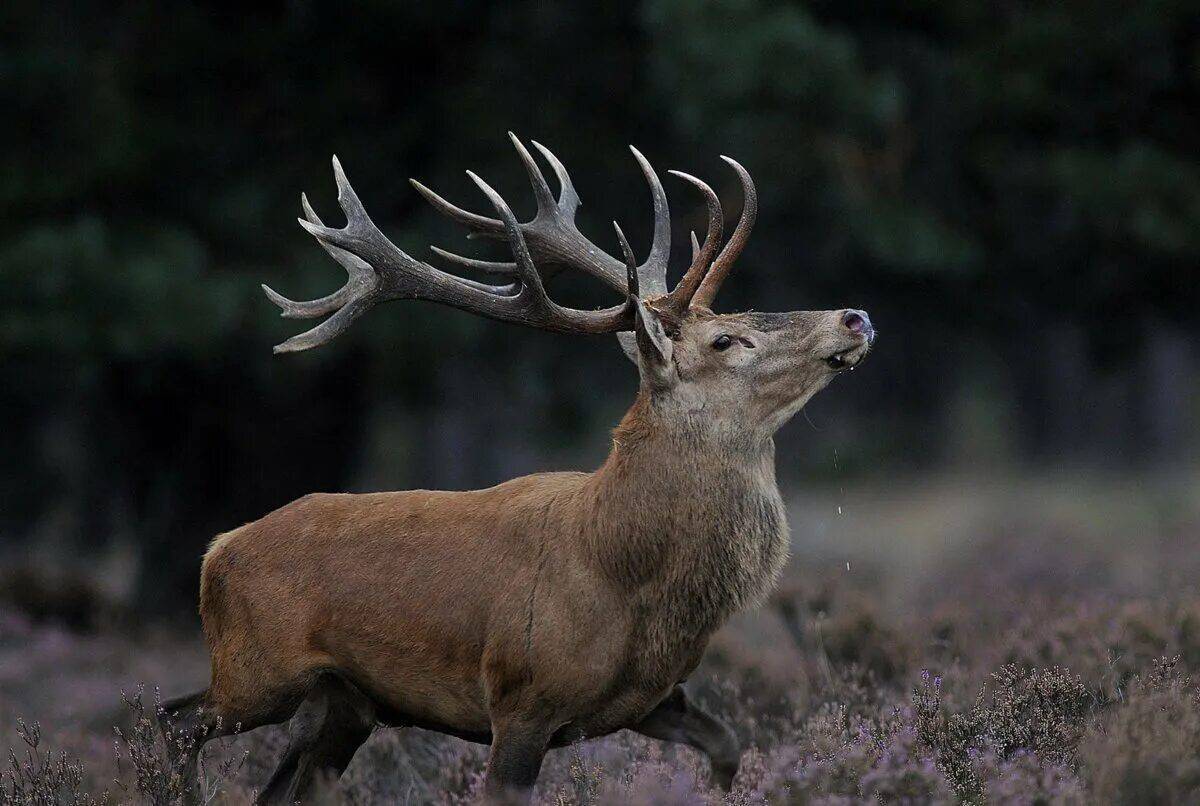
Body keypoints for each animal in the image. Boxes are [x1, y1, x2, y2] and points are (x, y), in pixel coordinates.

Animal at [162, 131, 873, 801]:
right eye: (727, 340)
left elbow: (728, 746)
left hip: (340, 704)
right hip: (258, 670)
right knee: (175, 721)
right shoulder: (521, 699)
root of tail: (215, 553)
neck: (624, 574)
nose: (855, 314)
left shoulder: (656, 699)